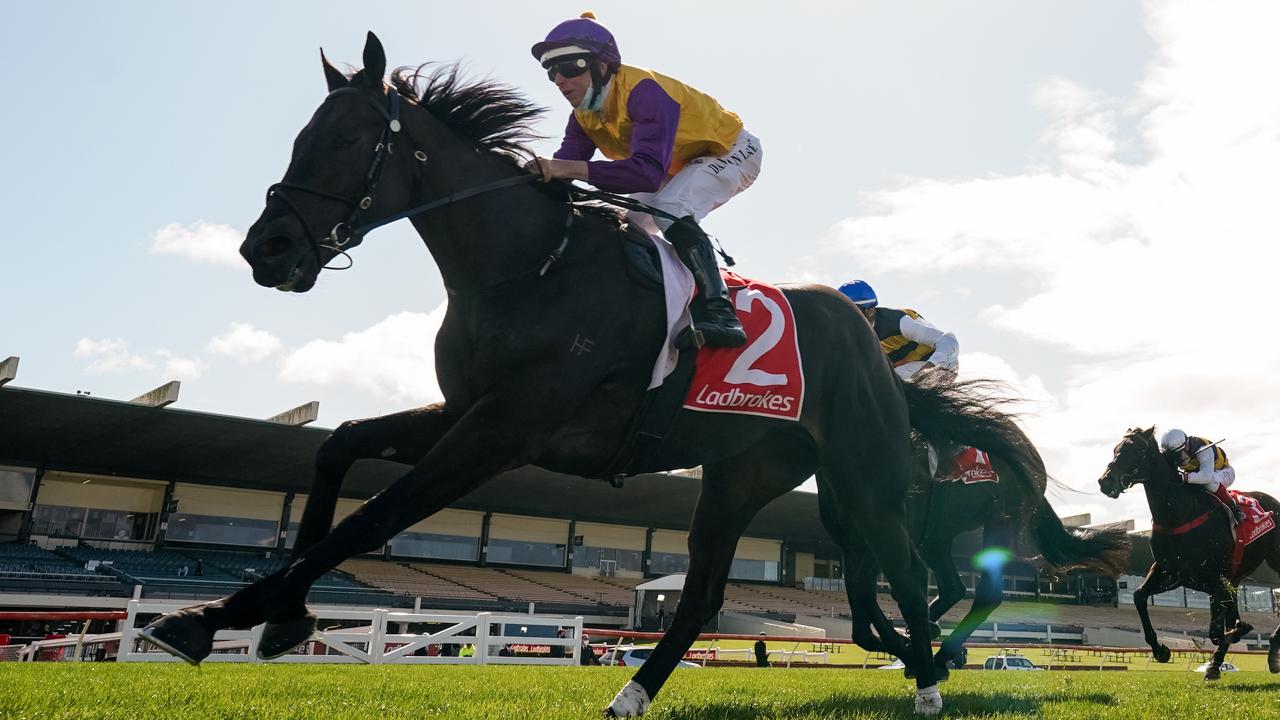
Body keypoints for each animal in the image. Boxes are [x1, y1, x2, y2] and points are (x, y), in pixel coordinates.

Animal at [140, 33, 1034, 712]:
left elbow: (377, 517)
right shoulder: (466, 409)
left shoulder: (505, 429)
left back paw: (929, 681)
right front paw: (274, 615)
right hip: (742, 473)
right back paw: (633, 693)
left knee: (906, 567)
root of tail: (867, 342)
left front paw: (219, 613)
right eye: (303, 136)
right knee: (704, 594)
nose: (267, 249)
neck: (527, 266)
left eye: (350, 141)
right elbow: (340, 447)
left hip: (865, 470)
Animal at [824, 371, 1126, 676]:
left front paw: (906, 646)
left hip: (1000, 518)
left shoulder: (889, 534)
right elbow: (860, 604)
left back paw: (939, 653)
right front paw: (905, 643)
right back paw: (930, 635)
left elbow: (867, 589)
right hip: (938, 536)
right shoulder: (852, 544)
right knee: (953, 586)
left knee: (985, 595)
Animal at [1095, 425, 1280, 676]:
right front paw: (1160, 650)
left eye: (1134, 451)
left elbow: (1217, 631)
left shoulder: (1214, 579)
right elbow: (1139, 595)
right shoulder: (1172, 572)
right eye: (1115, 449)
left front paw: (1233, 636)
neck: (1178, 514)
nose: (1105, 482)